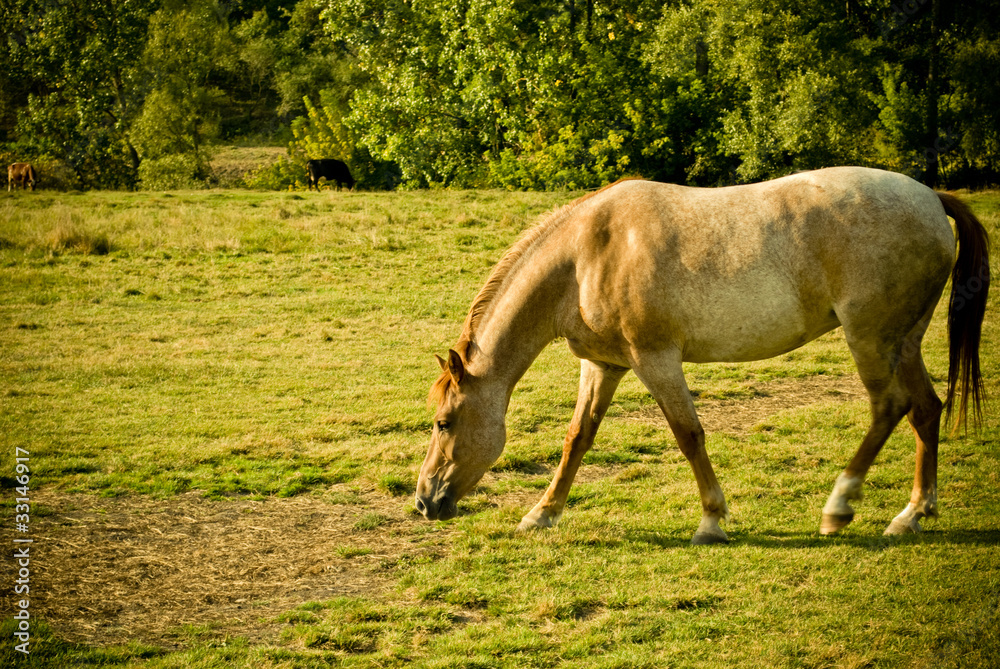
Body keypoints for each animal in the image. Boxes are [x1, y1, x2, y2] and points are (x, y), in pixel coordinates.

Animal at [416, 166, 990, 545]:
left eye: (444, 423)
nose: (424, 501)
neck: (584, 256)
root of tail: (930, 199)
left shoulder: (655, 360)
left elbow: (688, 435)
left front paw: (711, 520)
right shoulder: (604, 365)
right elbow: (577, 437)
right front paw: (542, 513)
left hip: (869, 338)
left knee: (889, 408)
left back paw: (839, 507)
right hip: (904, 341)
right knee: (925, 410)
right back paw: (912, 514)